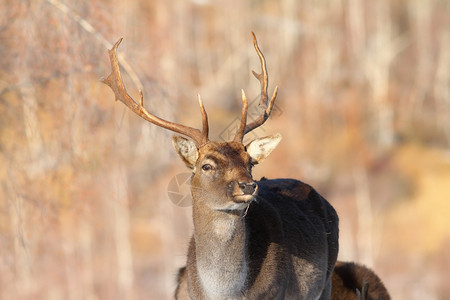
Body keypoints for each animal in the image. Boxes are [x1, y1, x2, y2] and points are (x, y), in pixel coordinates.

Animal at [103, 33, 338, 300]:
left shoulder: (277, 293)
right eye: (206, 166)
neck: (224, 292)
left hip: (327, 281)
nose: (248, 186)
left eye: (250, 162)